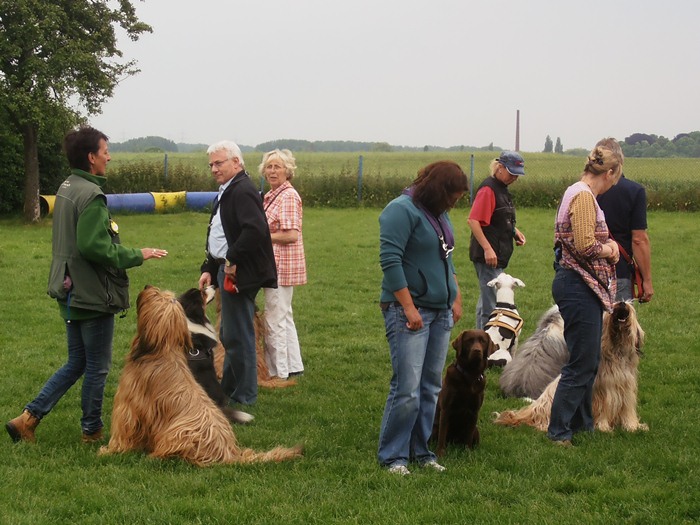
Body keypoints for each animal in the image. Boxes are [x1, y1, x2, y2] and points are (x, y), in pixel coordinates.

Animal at [493, 301, 648, 433]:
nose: (621, 303)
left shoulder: (626, 391)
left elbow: (627, 412)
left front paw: (633, 427)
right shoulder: (604, 392)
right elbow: (604, 410)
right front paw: (604, 428)